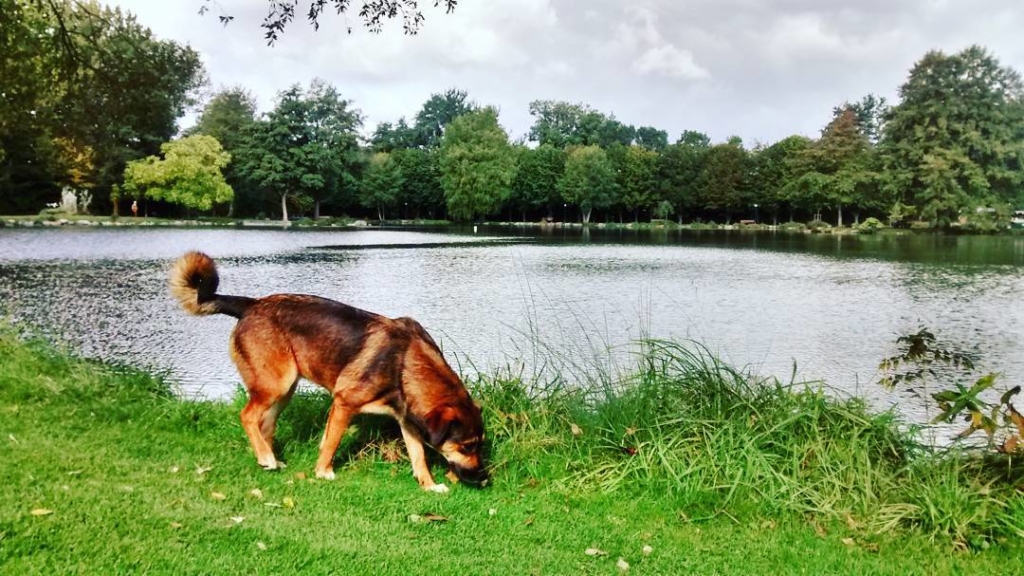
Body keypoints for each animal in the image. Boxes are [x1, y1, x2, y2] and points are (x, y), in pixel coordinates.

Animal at [167, 249, 487, 491]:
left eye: (478, 445)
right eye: (466, 447)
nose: (484, 478)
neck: (403, 363)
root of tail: (251, 305)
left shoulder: (406, 421)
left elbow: (418, 456)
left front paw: (429, 485)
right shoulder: (344, 403)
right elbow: (332, 442)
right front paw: (323, 472)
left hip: (285, 390)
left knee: (264, 423)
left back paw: (270, 458)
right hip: (275, 385)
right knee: (247, 416)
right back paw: (266, 457)